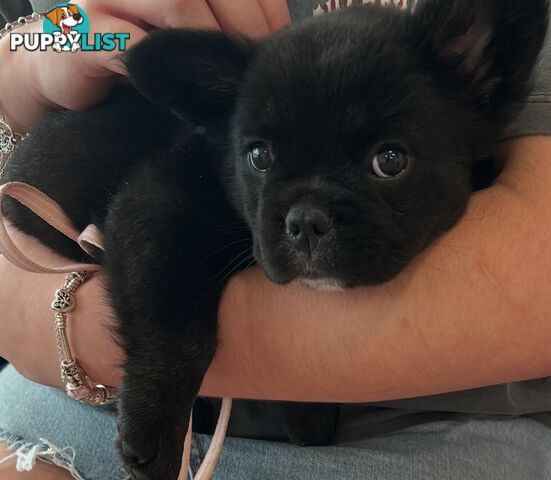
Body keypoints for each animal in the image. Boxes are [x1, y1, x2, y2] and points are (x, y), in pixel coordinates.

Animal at [3, 0, 548, 480]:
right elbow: (173, 327)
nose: (306, 219)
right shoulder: (155, 206)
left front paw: (310, 415)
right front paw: (156, 431)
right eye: (259, 156)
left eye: (390, 160)